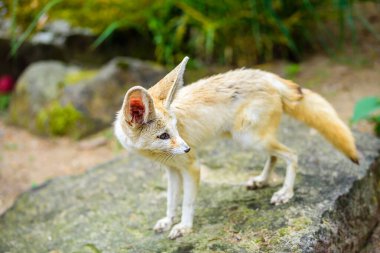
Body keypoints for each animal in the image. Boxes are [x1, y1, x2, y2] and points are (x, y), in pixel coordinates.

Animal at [114, 56, 358, 239]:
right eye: (164, 135)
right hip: (252, 140)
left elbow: (187, 202)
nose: (187, 149)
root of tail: (267, 75)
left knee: (293, 155)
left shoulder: (192, 167)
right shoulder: (172, 170)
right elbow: (171, 201)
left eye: (176, 130)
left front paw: (184, 227)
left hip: (250, 139)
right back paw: (262, 181)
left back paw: (285, 193)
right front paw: (168, 221)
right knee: (275, 156)